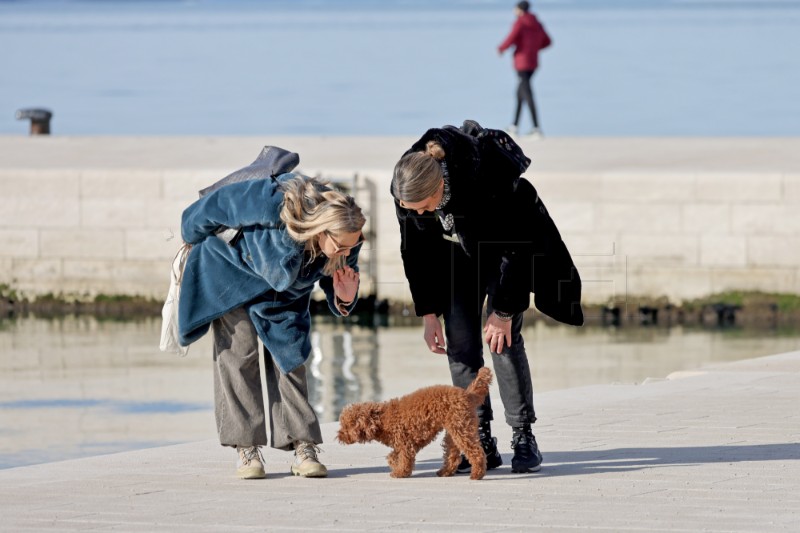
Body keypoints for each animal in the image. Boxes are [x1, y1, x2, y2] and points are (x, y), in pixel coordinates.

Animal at [336, 368, 490, 480]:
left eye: (346, 426)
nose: (339, 436)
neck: (382, 420)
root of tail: (467, 394)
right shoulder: (401, 444)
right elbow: (392, 456)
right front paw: (395, 465)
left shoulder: (405, 443)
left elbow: (404, 458)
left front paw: (400, 473)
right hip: (454, 432)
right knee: (452, 455)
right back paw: (445, 472)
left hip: (461, 428)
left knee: (476, 452)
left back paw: (477, 474)